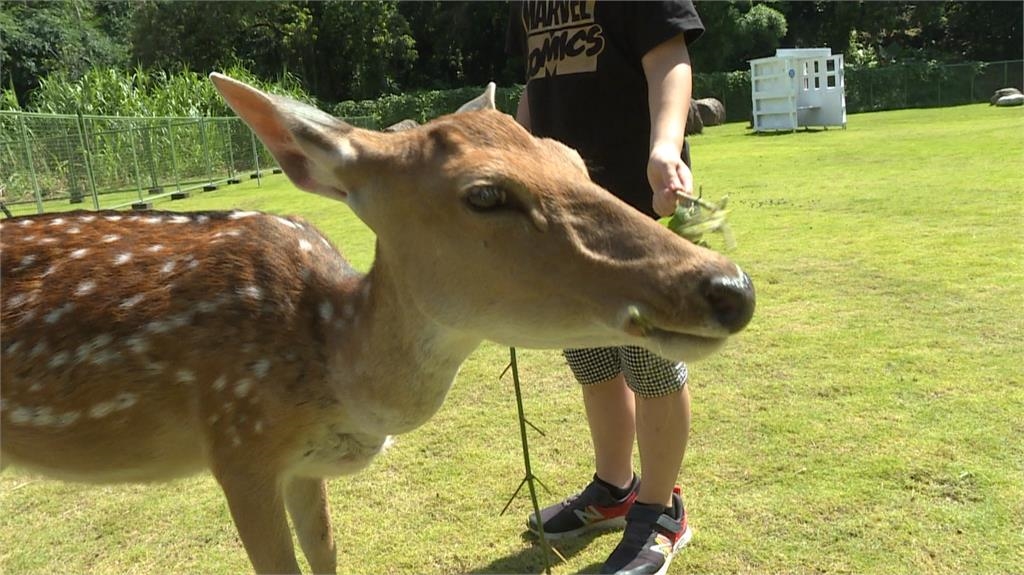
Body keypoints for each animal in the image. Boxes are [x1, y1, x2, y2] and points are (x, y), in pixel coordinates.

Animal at [0, 73, 755, 574]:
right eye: (485, 194)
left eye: (572, 157)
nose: (730, 287)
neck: (330, 366)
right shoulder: (237, 443)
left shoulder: (300, 467)